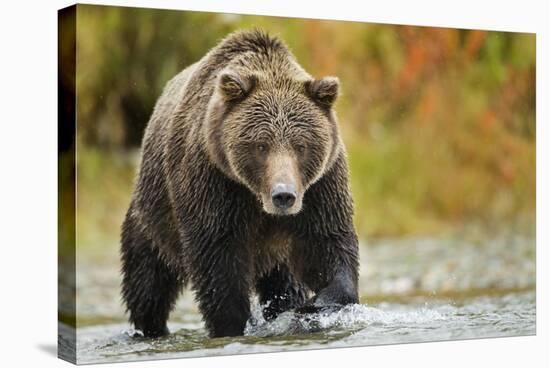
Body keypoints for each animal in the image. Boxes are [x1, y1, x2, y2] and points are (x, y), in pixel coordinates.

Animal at [121, 30, 360, 338]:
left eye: (301, 146)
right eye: (261, 145)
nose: (284, 195)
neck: (256, 197)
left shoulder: (320, 187)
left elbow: (327, 244)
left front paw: (313, 305)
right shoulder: (214, 182)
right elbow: (218, 261)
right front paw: (232, 324)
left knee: (284, 283)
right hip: (153, 217)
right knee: (147, 281)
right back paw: (151, 328)